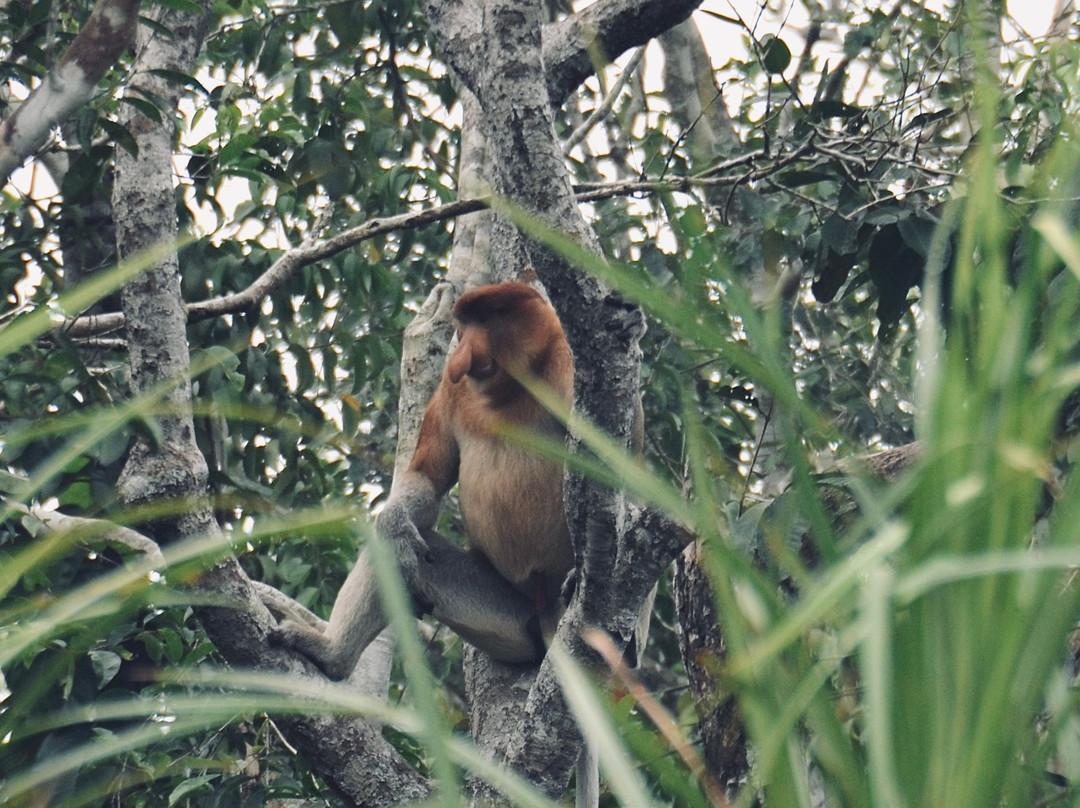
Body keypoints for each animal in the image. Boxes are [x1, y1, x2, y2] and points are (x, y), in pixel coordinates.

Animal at [271, 282, 581, 679]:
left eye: (487, 320)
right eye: (464, 327)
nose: (460, 359)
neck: (513, 388)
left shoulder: (568, 369)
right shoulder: (451, 391)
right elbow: (426, 477)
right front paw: (394, 526)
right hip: (509, 620)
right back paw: (332, 655)